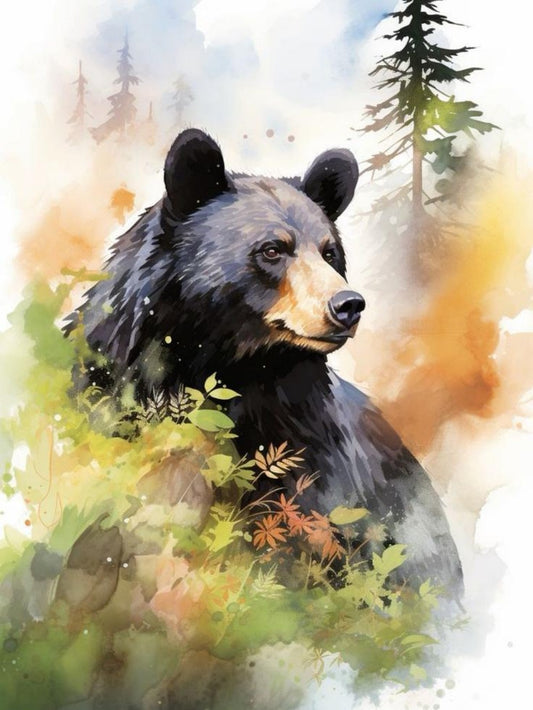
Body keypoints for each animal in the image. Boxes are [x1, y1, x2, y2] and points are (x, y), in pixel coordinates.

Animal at [66, 128, 463, 599]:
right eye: (273, 249)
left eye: (330, 253)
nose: (348, 304)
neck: (235, 367)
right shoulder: (109, 385)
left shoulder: (309, 442)